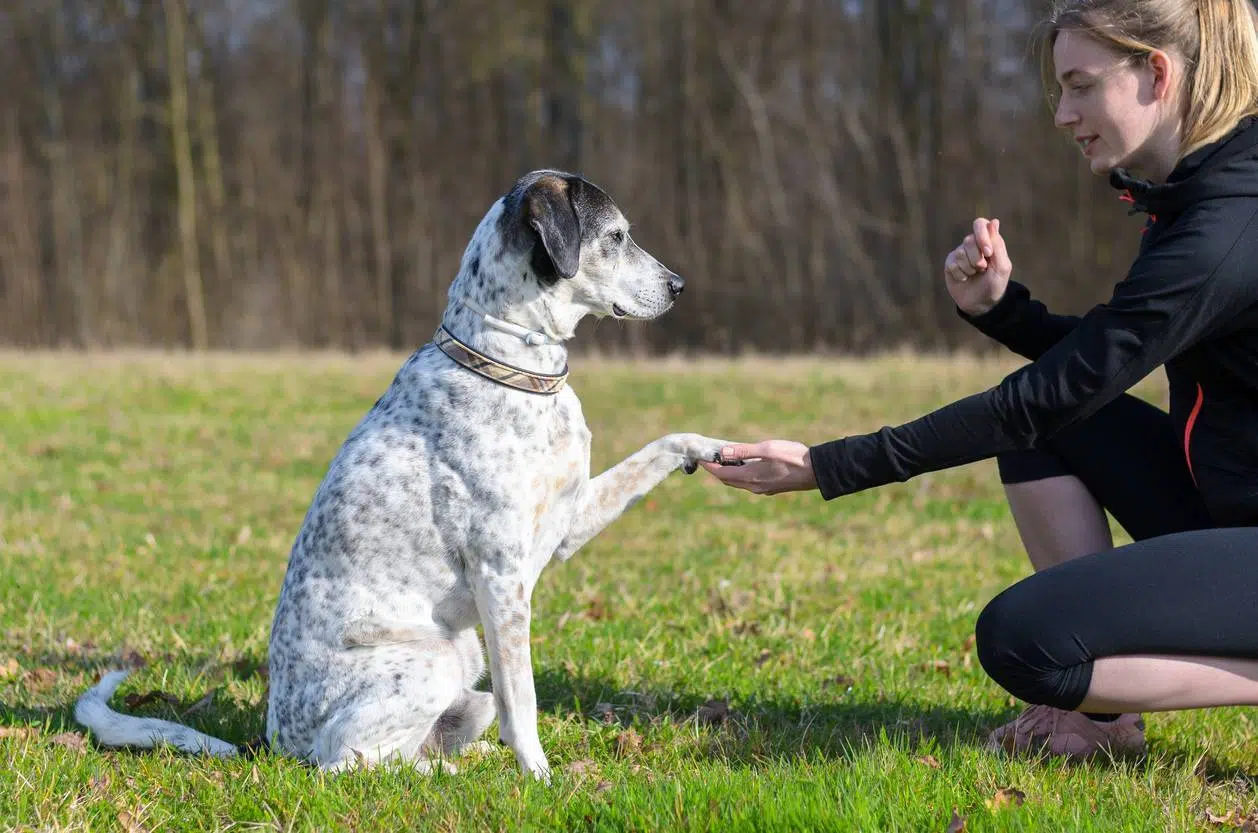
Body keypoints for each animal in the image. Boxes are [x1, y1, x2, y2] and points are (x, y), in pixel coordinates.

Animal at [73, 169, 734, 785]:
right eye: (616, 236)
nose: (679, 287)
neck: (510, 365)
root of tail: (272, 743)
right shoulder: (502, 578)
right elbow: (525, 702)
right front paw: (541, 779)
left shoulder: (566, 526)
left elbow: (658, 449)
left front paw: (714, 448)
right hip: (432, 661)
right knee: (348, 763)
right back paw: (449, 776)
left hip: (464, 669)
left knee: (407, 752)